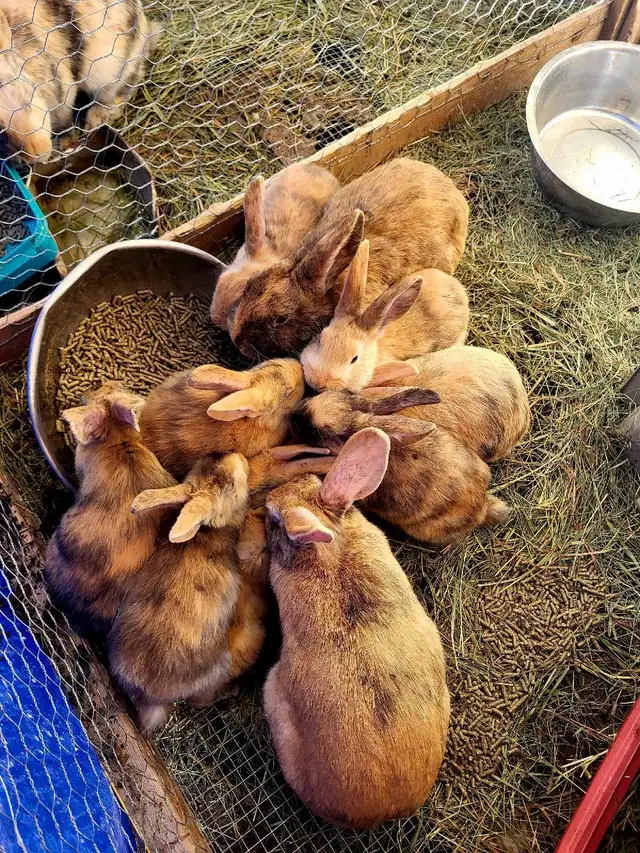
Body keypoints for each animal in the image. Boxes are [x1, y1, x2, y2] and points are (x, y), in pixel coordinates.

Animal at [0, 0, 161, 162]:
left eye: (28, 98)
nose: (38, 154)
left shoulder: (65, 94)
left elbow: (65, 122)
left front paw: (65, 141)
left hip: (110, 73)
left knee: (121, 94)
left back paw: (93, 123)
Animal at [108, 454, 252, 731]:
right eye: (230, 484)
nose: (239, 456)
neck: (208, 530)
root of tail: (151, 696)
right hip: (218, 668)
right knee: (202, 700)